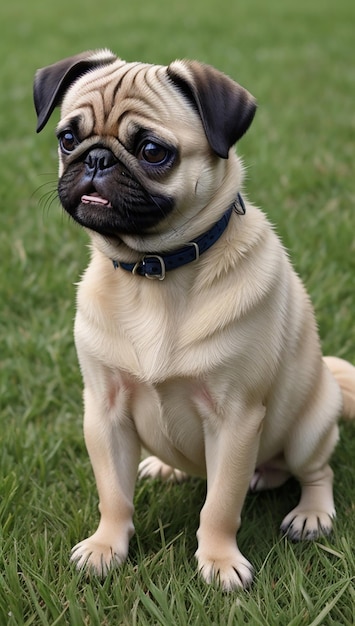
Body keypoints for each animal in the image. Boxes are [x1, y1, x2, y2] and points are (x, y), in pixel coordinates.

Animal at [33, 50, 355, 588]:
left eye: (151, 151)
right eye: (68, 139)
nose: (96, 159)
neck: (154, 269)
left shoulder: (235, 418)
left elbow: (220, 504)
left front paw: (220, 561)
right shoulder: (104, 410)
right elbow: (113, 495)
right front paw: (106, 547)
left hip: (308, 429)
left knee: (316, 471)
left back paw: (311, 514)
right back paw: (169, 469)